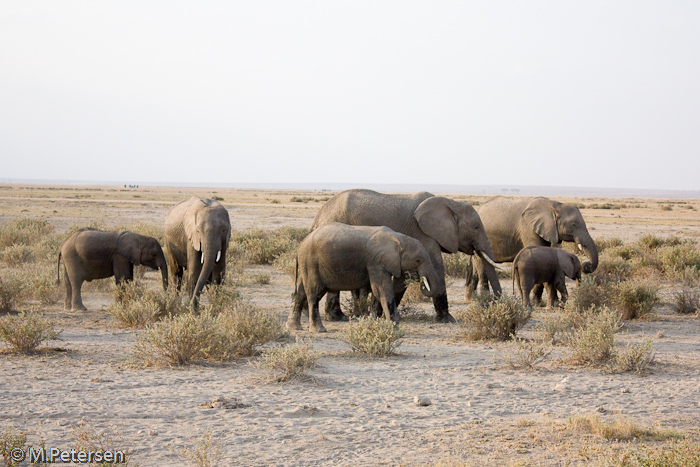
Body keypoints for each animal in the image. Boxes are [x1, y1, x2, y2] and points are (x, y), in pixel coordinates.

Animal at [284, 223, 438, 332]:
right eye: (418, 260)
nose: (419, 278)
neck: (399, 238)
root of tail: (301, 245)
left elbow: (378, 292)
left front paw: (379, 323)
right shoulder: (376, 262)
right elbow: (382, 290)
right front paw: (393, 326)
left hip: (305, 264)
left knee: (300, 293)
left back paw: (294, 327)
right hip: (311, 263)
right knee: (314, 294)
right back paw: (319, 330)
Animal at [312, 188, 504, 324]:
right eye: (476, 227)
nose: (492, 304)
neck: (451, 203)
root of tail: (318, 217)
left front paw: (380, 314)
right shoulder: (423, 233)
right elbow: (436, 270)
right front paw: (448, 319)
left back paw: (339, 317)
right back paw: (339, 317)